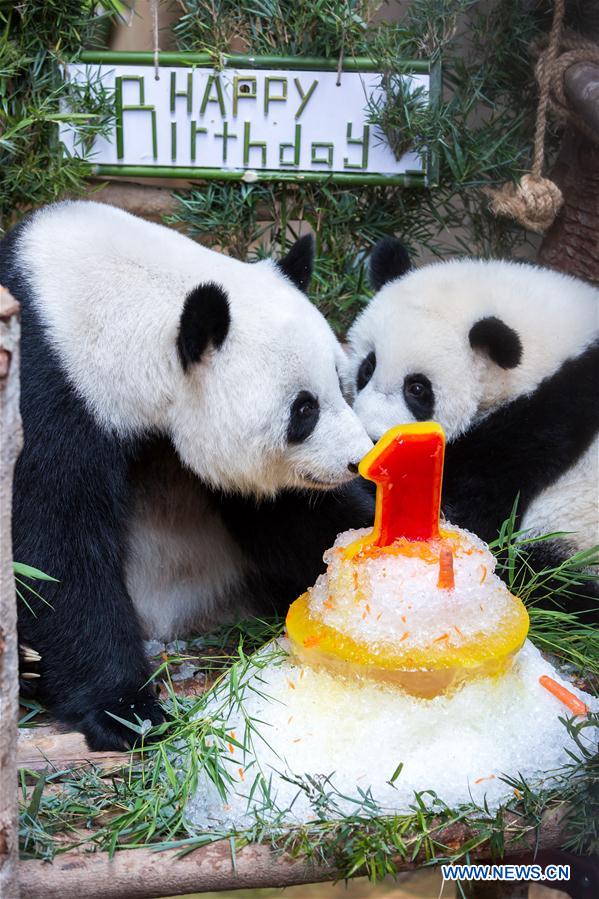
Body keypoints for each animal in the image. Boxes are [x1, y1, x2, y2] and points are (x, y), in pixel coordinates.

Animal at [1, 204, 376, 752]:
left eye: (343, 385)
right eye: (303, 410)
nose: (356, 460)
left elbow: (295, 516)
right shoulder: (45, 389)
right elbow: (52, 546)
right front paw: (127, 712)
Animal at [346, 236, 599, 608]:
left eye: (417, 388)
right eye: (367, 367)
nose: (372, 437)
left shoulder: (546, 420)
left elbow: (465, 515)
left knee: (544, 576)